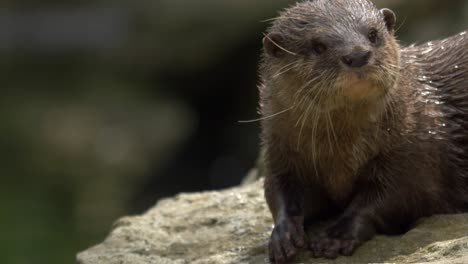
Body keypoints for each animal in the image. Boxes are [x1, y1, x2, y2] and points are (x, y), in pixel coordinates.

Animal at [258, 1, 468, 262]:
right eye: (317, 46)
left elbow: (391, 197)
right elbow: (278, 191)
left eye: (373, 34)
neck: (338, 154)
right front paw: (283, 234)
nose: (357, 55)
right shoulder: (279, 150)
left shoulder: (416, 150)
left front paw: (337, 236)